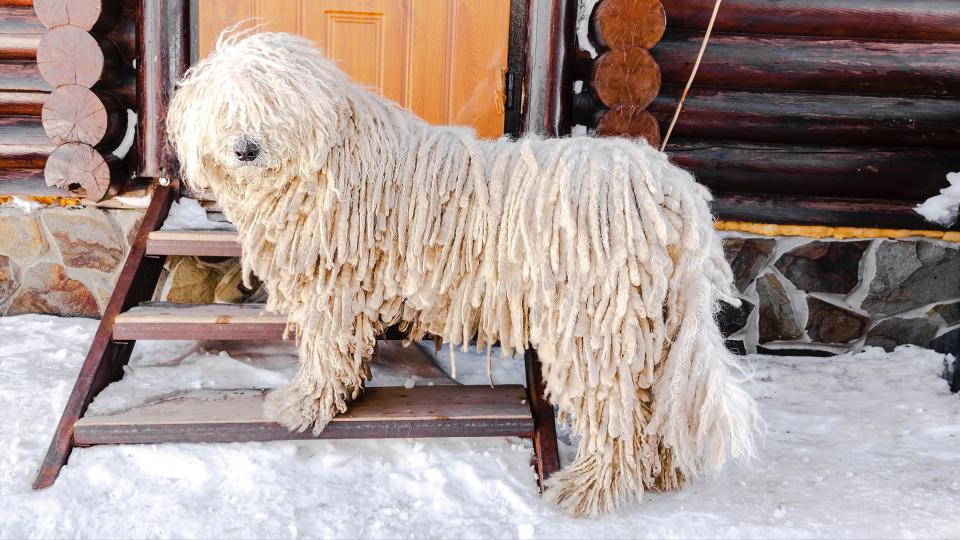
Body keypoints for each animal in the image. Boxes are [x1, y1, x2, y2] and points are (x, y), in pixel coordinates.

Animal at [169, 30, 760, 516]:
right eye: (227, 108)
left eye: (272, 104)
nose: (246, 148)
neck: (331, 164)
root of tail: (671, 187)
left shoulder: (332, 289)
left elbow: (325, 350)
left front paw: (300, 405)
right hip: (653, 322)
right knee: (655, 402)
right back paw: (662, 473)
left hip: (595, 323)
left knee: (614, 411)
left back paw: (588, 489)